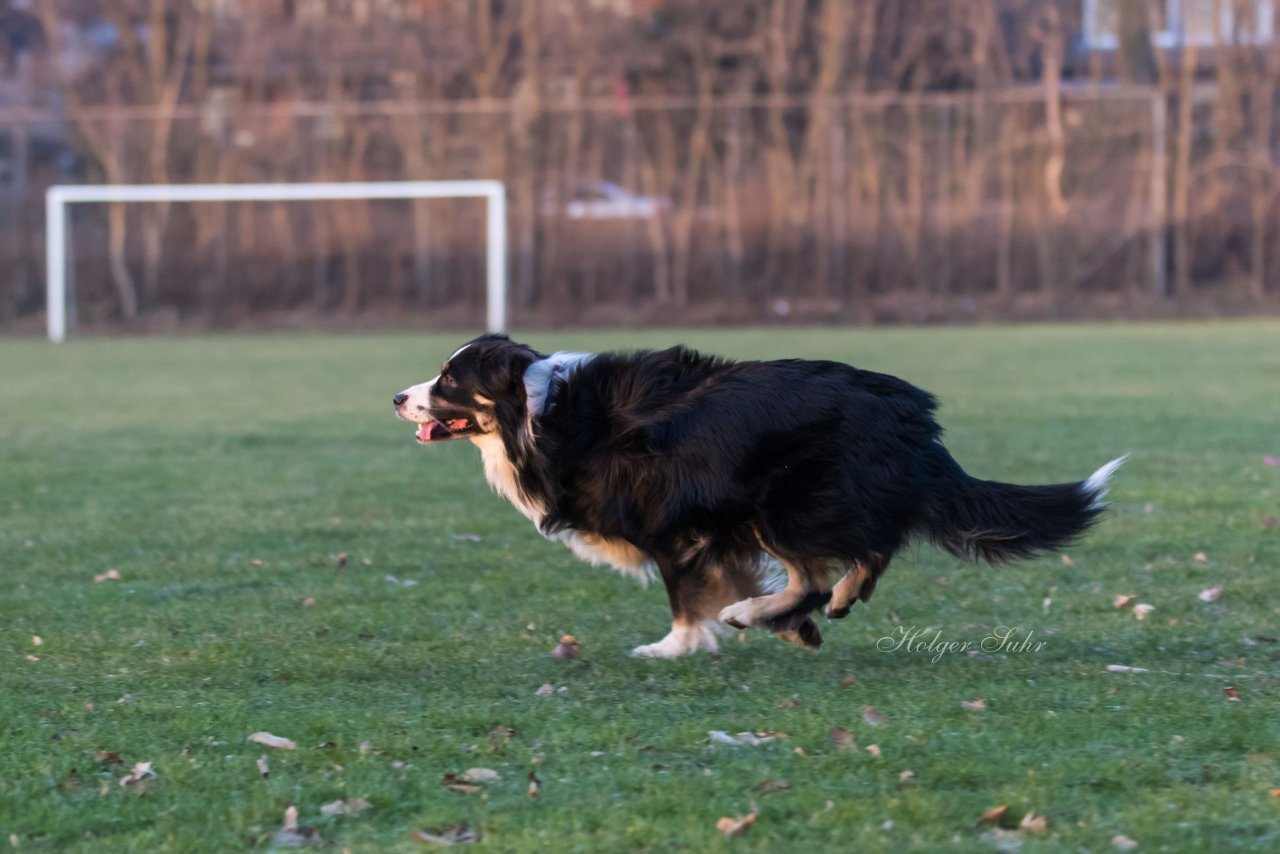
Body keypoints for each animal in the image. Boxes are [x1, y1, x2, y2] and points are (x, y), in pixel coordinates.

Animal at [391, 338, 1121, 660]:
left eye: (450, 379)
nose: (397, 396)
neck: (538, 411)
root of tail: (912, 416)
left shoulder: (673, 520)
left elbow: (686, 597)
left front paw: (676, 646)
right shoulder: (718, 529)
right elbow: (740, 578)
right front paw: (786, 625)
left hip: (786, 500)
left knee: (846, 557)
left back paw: (784, 607)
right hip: (775, 508)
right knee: (846, 562)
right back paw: (809, 608)